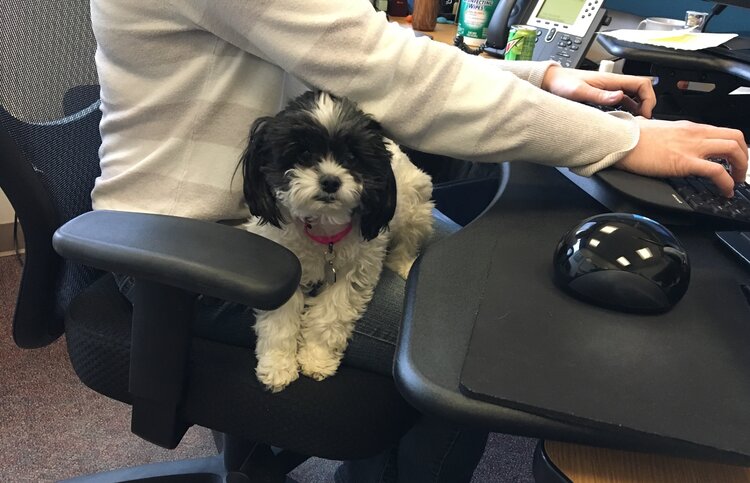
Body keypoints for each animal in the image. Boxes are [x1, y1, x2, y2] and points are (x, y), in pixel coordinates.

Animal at [241, 91, 434, 394]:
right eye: (304, 153)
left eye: (352, 157)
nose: (330, 181)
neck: (323, 228)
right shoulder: (282, 269)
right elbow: (280, 321)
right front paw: (278, 365)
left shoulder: (355, 270)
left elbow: (331, 315)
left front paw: (316, 359)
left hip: (412, 204)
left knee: (406, 240)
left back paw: (404, 265)